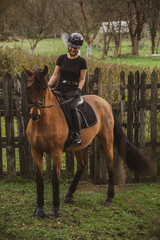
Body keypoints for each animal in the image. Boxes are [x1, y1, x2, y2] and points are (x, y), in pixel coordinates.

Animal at [23, 65, 152, 219]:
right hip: (78, 146)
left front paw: (55, 210)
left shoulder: (56, 152)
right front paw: (39, 210)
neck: (44, 122)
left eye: (44, 89)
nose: (35, 115)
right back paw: (69, 195)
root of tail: (105, 103)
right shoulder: (35, 151)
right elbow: (39, 179)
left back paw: (109, 198)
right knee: (82, 165)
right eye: (28, 88)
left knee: (110, 165)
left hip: (107, 139)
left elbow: (55, 179)